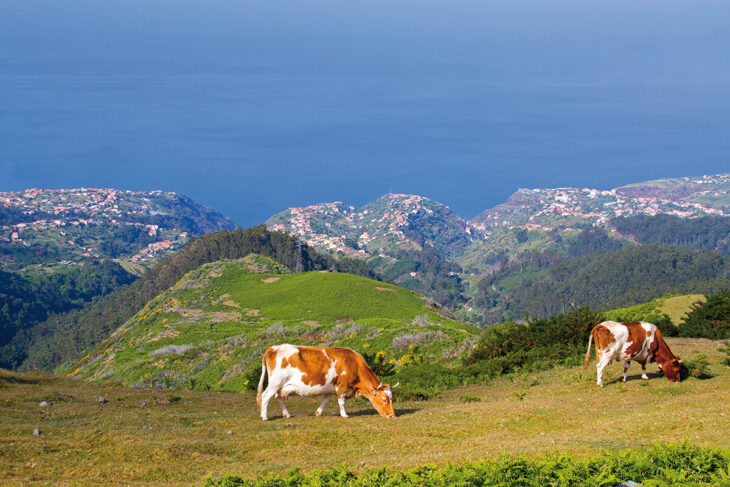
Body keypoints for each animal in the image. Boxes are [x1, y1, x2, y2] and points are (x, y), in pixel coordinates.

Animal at [253, 346, 396, 422]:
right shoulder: (342, 386)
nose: (392, 415)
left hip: (282, 387)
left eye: (392, 399)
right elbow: (341, 402)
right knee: (265, 396)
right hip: (275, 383)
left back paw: (287, 414)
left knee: (279, 398)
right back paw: (264, 416)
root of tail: (272, 348)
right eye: (384, 399)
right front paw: (344, 415)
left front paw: (318, 412)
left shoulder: (330, 388)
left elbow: (325, 400)